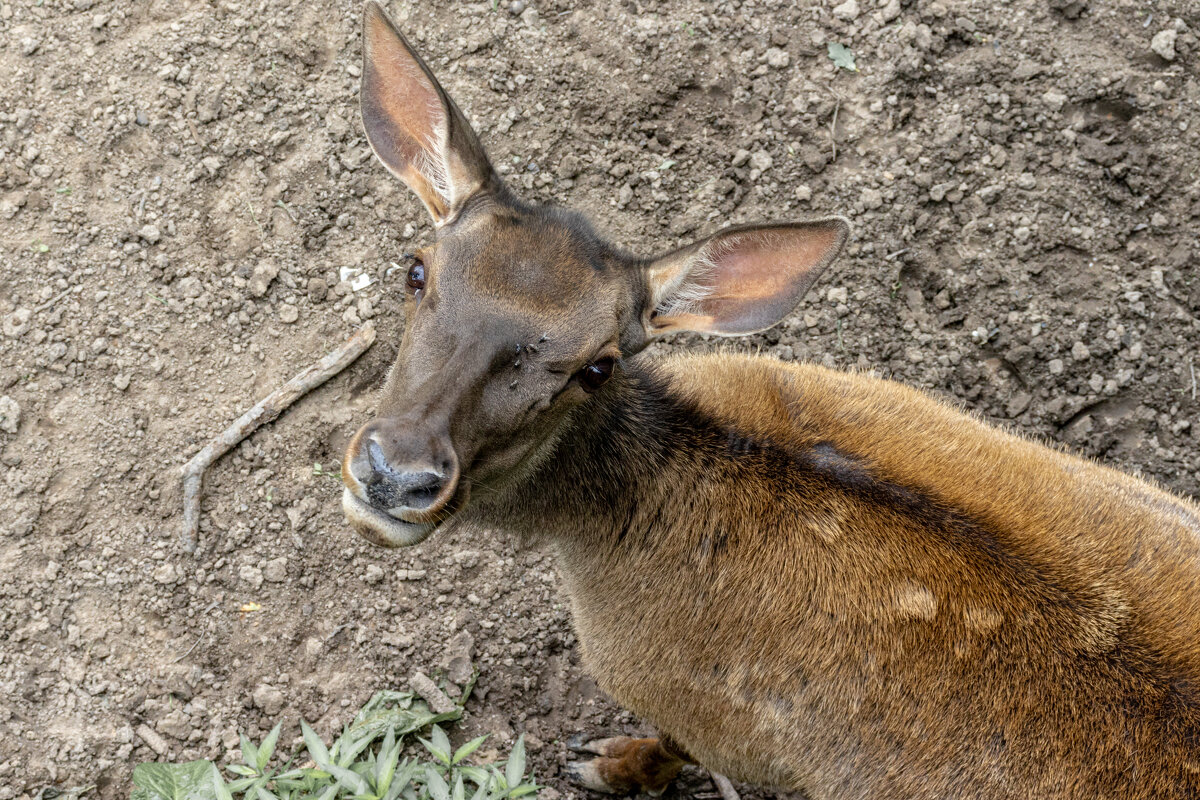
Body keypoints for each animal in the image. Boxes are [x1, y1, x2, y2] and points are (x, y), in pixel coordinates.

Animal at [340, 3, 1200, 796]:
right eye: (417, 270)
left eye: (599, 366)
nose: (397, 472)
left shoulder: (715, 722)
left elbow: (674, 748)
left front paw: (609, 763)